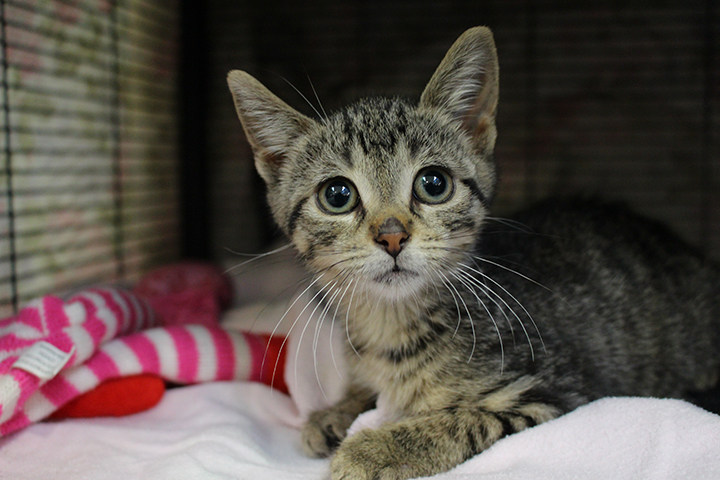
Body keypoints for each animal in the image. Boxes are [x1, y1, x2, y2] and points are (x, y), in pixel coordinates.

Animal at [228, 25, 720, 480]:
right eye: (337, 195)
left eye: (433, 184)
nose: (392, 236)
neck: (392, 326)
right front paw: (336, 411)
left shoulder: (555, 397)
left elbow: (460, 421)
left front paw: (372, 450)